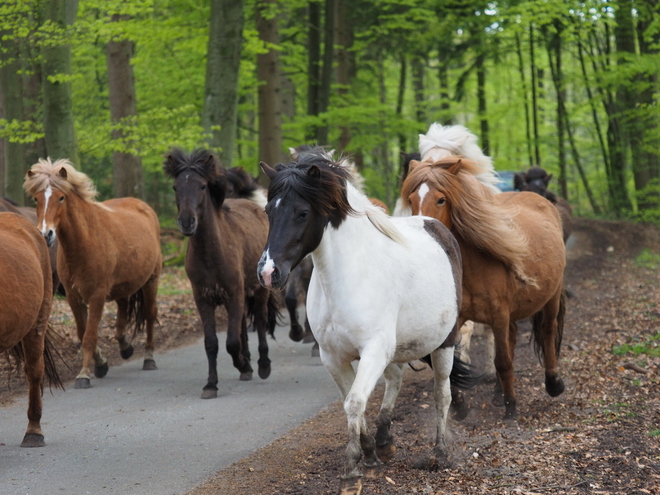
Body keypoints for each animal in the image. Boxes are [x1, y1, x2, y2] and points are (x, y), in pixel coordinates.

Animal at [25, 159, 162, 392]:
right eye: (36, 198)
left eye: (61, 197)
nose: (45, 235)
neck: (84, 241)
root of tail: (144, 207)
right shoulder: (73, 297)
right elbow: (82, 333)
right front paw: (100, 364)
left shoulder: (96, 296)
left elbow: (89, 335)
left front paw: (84, 375)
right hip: (122, 286)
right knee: (123, 309)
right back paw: (125, 347)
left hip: (151, 281)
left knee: (150, 315)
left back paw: (149, 359)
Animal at [166, 148, 280, 400]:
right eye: (176, 187)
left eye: (202, 186)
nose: (187, 222)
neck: (211, 255)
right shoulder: (203, 299)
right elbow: (212, 343)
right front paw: (211, 384)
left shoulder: (234, 294)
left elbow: (231, 343)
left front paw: (244, 364)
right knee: (242, 328)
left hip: (257, 292)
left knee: (259, 320)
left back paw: (263, 364)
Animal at [255, 151, 476, 495]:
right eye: (269, 211)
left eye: (302, 213)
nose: (268, 273)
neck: (346, 278)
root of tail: (437, 227)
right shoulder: (333, 357)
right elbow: (351, 401)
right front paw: (370, 454)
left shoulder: (373, 350)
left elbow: (355, 402)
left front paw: (352, 469)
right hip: (395, 350)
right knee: (396, 379)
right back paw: (385, 440)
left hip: (444, 344)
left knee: (442, 393)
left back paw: (440, 453)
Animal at [402, 157, 568, 420]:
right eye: (411, 199)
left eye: (441, 199)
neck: (474, 264)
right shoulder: (461, 318)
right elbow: (449, 365)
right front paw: (460, 405)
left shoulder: (499, 314)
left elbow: (503, 361)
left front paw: (511, 407)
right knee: (512, 339)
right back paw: (499, 393)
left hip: (551, 294)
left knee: (548, 330)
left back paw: (552, 383)